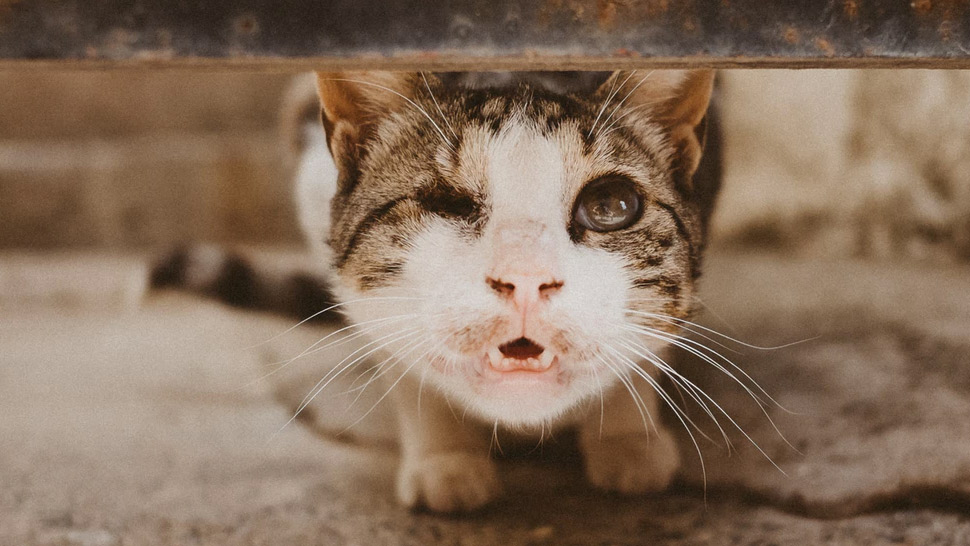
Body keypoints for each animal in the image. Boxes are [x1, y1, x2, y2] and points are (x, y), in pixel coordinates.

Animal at [157, 69, 720, 510]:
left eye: (610, 206)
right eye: (445, 203)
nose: (526, 277)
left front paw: (628, 437)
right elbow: (402, 356)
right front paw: (444, 459)